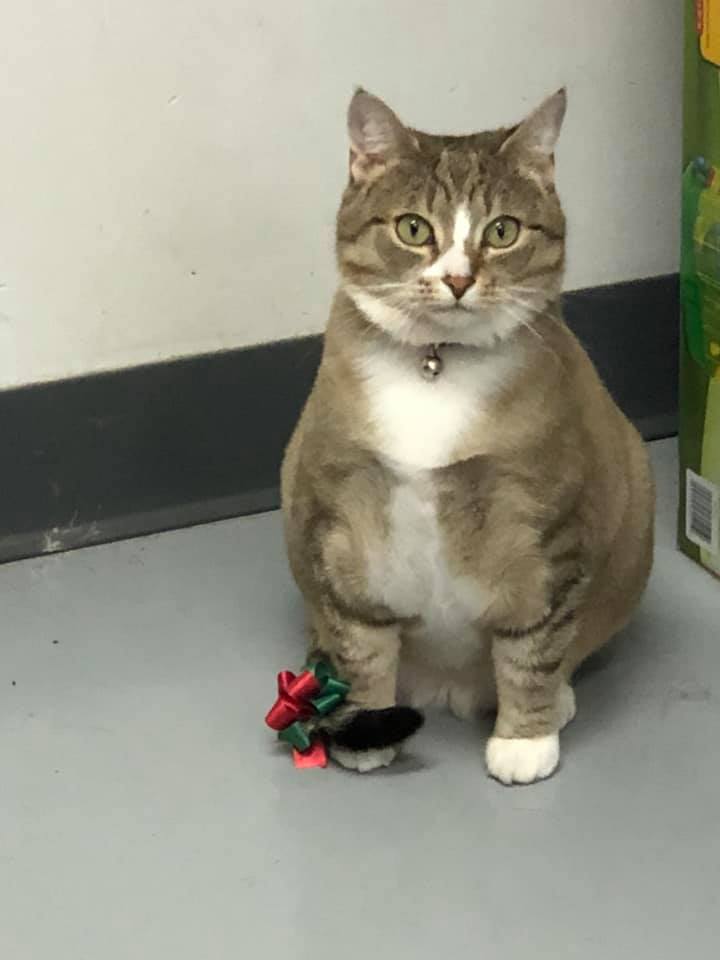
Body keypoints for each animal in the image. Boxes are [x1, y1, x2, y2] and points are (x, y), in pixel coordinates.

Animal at [280, 88, 655, 784]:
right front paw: (366, 727)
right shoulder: (339, 517)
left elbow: (534, 646)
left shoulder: (549, 530)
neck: (437, 367)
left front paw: (525, 740)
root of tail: (445, 689)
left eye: (502, 231)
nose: (457, 280)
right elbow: (360, 637)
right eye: (413, 228)